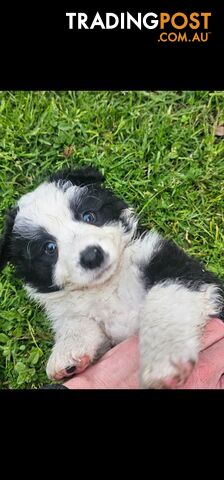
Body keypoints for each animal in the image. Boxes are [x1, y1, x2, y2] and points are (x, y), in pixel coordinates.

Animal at [0, 167, 224, 388]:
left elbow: (165, 303)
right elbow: (75, 321)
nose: (91, 256)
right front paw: (67, 353)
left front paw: (162, 362)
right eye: (49, 248)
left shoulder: (177, 268)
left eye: (89, 216)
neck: (107, 284)